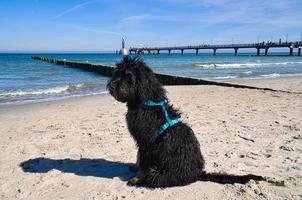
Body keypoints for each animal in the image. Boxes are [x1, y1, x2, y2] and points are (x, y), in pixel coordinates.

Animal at [107, 56, 264, 188]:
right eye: (117, 73)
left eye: (129, 77)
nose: (112, 86)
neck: (146, 102)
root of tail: (197, 173)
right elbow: (139, 159)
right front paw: (135, 167)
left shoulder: (147, 143)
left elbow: (143, 161)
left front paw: (136, 176)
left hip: (160, 173)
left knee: (154, 177)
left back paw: (140, 181)